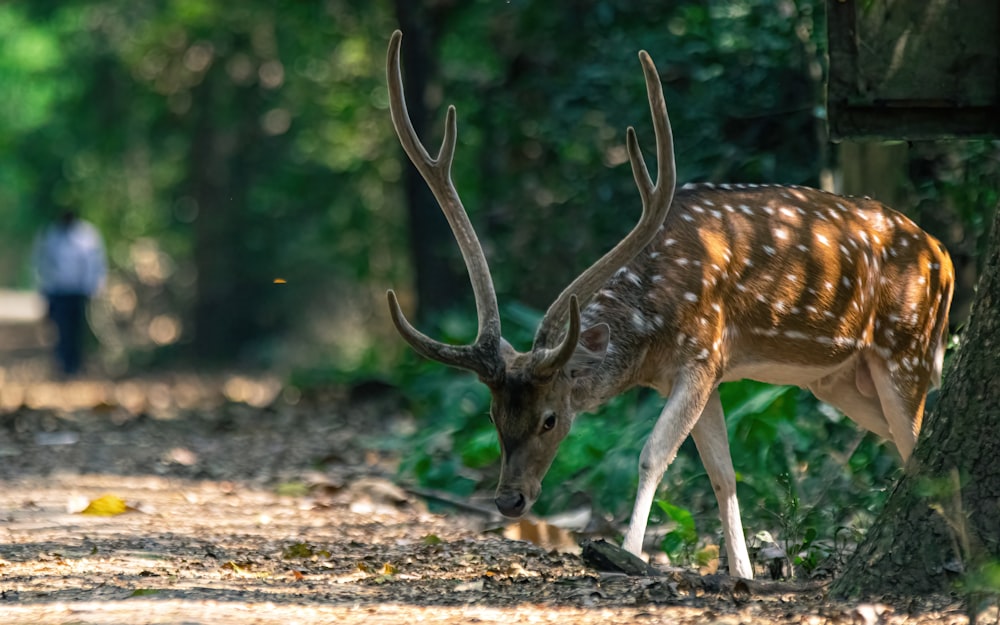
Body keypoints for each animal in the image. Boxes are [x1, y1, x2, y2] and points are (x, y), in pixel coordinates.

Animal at [382, 28, 952, 576]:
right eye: (493, 415)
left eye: (550, 418)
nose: (509, 501)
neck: (648, 328)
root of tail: (943, 256)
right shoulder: (708, 373)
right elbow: (724, 473)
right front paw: (741, 572)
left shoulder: (702, 353)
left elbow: (652, 455)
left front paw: (627, 556)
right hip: (839, 380)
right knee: (903, 446)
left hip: (907, 350)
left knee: (918, 445)